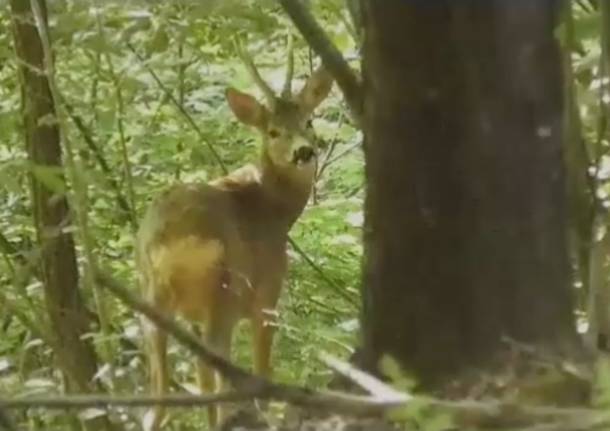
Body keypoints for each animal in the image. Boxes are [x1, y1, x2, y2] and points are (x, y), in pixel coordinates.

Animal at [137, 49, 332, 430]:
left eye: (308, 122)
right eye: (273, 131)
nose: (304, 152)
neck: (274, 208)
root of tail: (174, 234)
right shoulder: (267, 293)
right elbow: (262, 365)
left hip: (152, 293)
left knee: (162, 387)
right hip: (225, 284)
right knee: (215, 361)